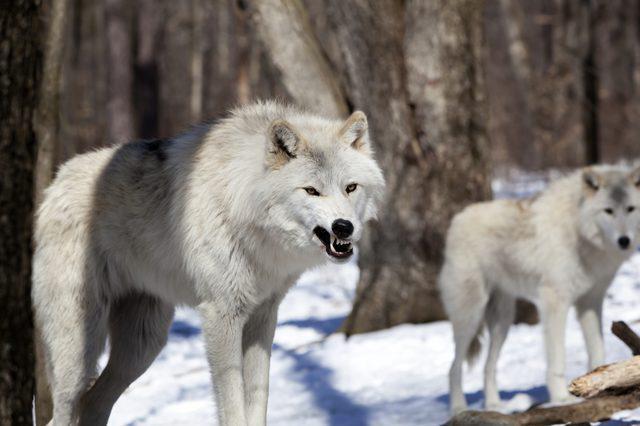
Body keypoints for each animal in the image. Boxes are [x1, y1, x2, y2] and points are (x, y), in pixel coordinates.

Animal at [32, 101, 384, 424]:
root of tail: (55, 184)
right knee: (64, 410)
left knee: (94, 402)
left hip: (144, 346)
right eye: (311, 190)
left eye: (350, 187)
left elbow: (258, 398)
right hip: (79, 349)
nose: (344, 227)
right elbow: (233, 406)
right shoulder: (221, 314)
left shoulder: (263, 316)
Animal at [440, 165, 640, 414]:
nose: (624, 240)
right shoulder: (554, 302)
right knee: (453, 368)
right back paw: (459, 409)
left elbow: (598, 351)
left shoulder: (590, 302)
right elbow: (557, 358)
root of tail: (457, 219)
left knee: (488, 367)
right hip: (470, 317)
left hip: (503, 321)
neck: (577, 228)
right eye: (608, 211)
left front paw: (602, 383)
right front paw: (562, 399)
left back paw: (495, 406)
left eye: (630, 209)